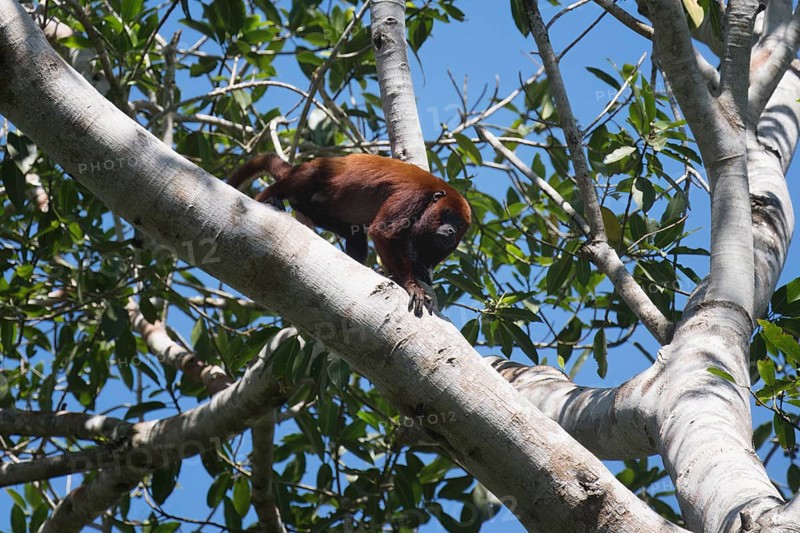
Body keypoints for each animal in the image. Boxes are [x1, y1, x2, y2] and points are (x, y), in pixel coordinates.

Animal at [228, 153, 471, 316]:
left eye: (459, 226)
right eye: (448, 216)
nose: (451, 231)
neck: (434, 197)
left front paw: (418, 269)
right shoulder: (412, 196)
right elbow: (382, 231)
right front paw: (411, 285)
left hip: (316, 209)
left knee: (356, 236)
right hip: (310, 175)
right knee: (306, 178)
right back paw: (268, 198)